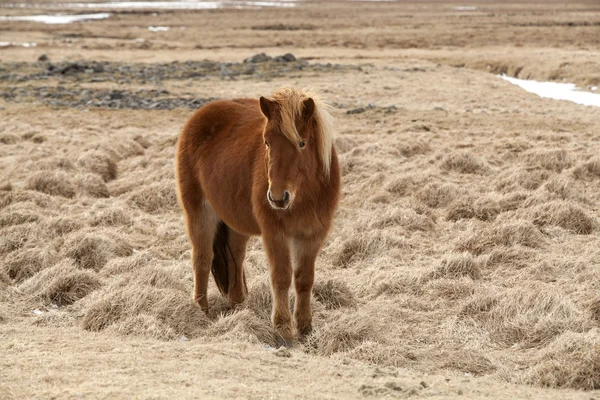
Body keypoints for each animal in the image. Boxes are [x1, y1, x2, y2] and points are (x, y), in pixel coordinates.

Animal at [176, 86, 340, 340]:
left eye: (302, 143)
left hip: (235, 222)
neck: (305, 196)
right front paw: (283, 328)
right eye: (267, 142)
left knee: (235, 256)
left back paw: (238, 305)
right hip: (199, 213)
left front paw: (305, 327)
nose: (278, 198)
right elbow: (281, 277)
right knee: (202, 259)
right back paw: (200, 312)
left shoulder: (313, 235)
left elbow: (304, 279)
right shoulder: (275, 233)